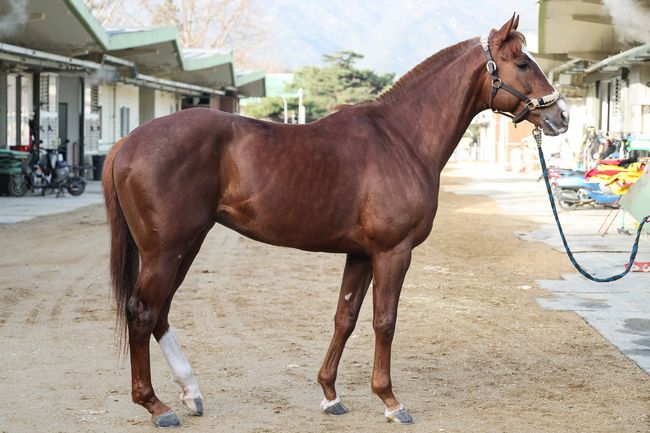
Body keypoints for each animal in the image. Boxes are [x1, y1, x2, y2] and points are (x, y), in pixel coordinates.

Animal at [101, 15, 568, 426]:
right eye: (523, 63)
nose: (561, 116)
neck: (402, 139)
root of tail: (127, 141)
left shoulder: (359, 255)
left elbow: (345, 318)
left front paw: (330, 394)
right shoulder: (392, 253)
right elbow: (384, 322)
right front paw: (390, 401)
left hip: (188, 244)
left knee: (160, 312)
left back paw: (191, 392)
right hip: (165, 250)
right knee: (143, 312)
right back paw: (157, 406)